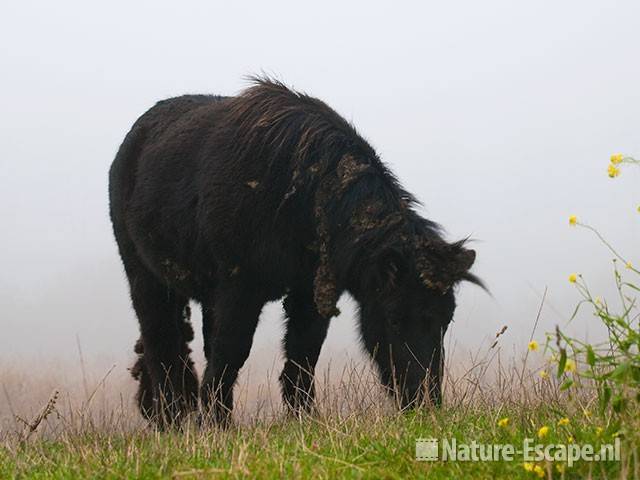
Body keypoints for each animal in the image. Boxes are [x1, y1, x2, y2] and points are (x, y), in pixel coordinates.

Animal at [109, 79, 480, 428]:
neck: (301, 194)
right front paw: (218, 425)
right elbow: (232, 352)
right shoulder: (240, 290)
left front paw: (302, 416)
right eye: (394, 317)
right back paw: (171, 418)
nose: (425, 401)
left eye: (446, 318)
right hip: (146, 280)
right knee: (161, 345)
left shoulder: (309, 293)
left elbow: (303, 354)